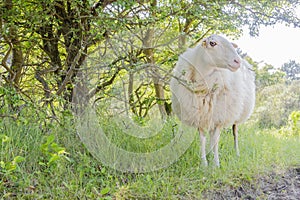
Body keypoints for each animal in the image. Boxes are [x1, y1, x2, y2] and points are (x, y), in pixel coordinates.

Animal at [170, 34, 254, 167]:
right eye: (212, 43)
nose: (237, 61)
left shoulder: (220, 116)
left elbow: (216, 139)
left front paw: (216, 164)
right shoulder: (200, 115)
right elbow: (203, 139)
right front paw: (204, 163)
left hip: (236, 112)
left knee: (235, 132)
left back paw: (237, 153)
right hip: (210, 114)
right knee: (210, 134)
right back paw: (210, 153)